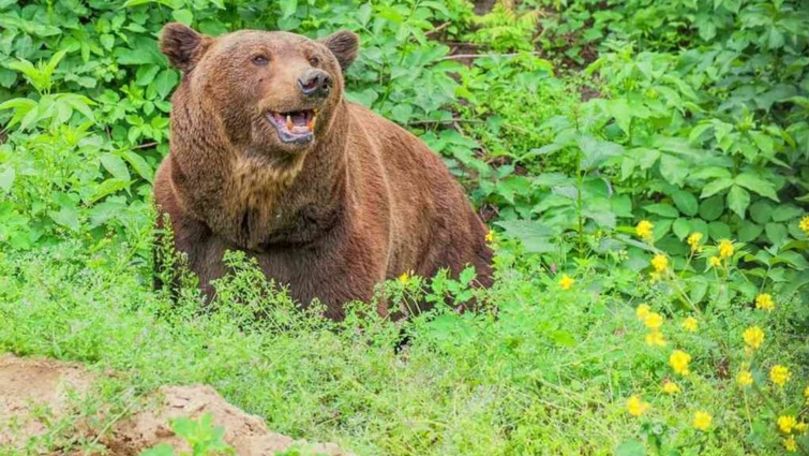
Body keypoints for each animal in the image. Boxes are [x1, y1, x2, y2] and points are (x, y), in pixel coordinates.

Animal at [152, 23, 492, 318]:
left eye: (314, 58)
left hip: (442, 241)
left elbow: (347, 306)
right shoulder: (188, 219)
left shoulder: (333, 229)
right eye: (259, 57)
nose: (315, 80)